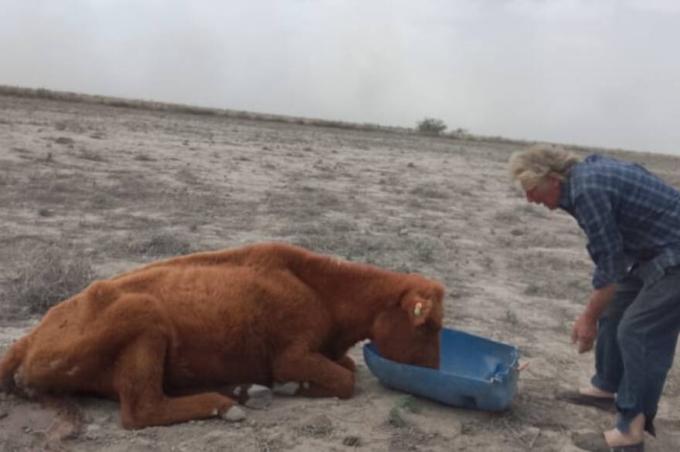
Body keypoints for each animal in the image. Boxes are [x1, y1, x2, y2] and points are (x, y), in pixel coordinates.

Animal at [0, 242, 446, 430]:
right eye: (428, 326)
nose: (437, 369)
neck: (321, 288)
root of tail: (26, 340)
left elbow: (348, 366)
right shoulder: (291, 355)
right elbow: (345, 380)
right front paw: (289, 387)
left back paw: (241, 391)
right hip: (144, 316)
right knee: (141, 409)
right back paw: (226, 403)